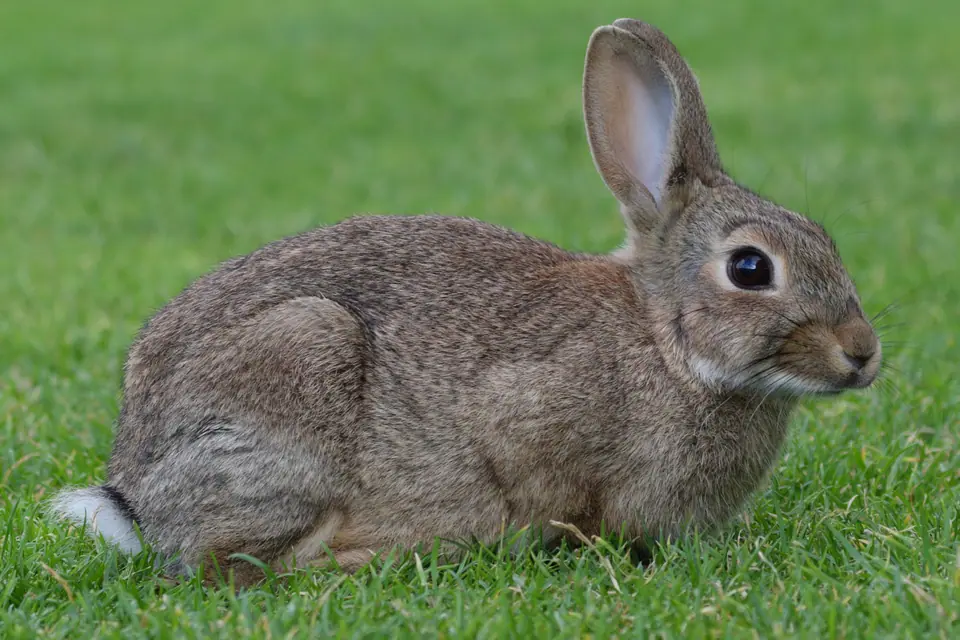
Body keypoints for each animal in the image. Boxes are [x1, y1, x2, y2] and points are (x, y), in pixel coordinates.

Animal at [51, 18, 882, 586]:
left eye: (824, 237)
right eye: (750, 268)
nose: (863, 354)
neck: (668, 345)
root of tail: (135, 497)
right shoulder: (526, 417)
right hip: (300, 360)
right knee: (235, 565)